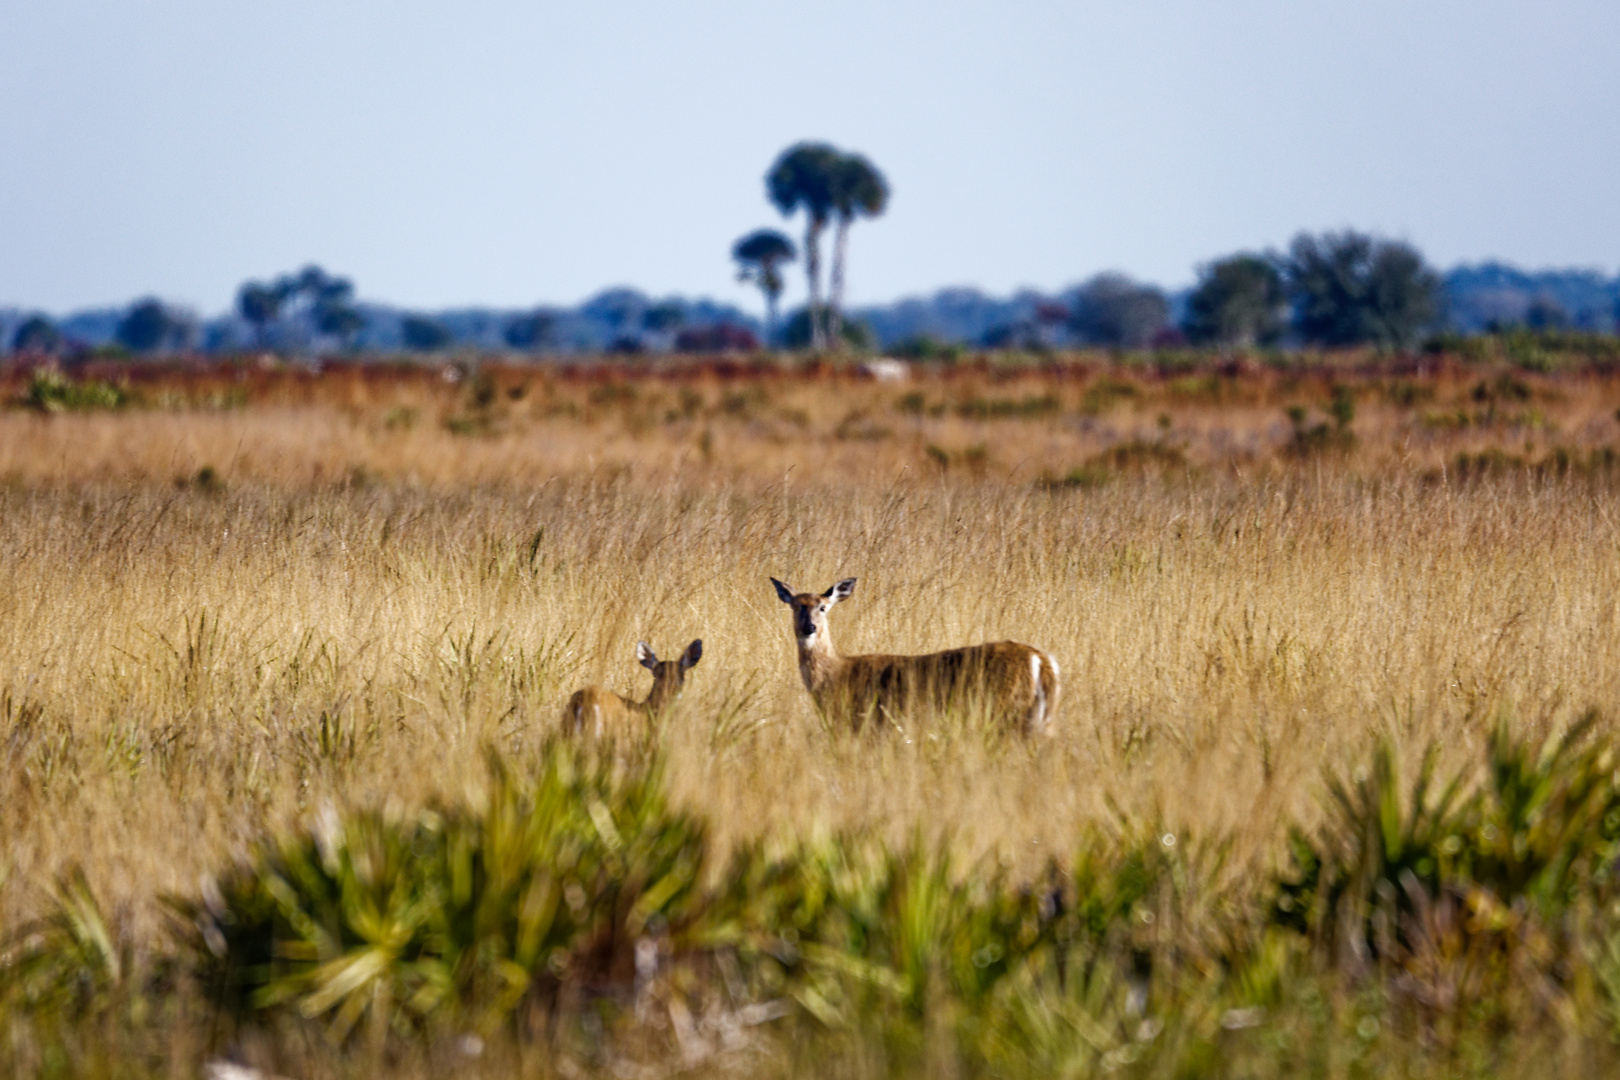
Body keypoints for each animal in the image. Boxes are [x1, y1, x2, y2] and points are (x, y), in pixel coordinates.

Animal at [771, 579, 1062, 738]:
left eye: (823, 607)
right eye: (796, 606)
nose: (809, 627)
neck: (837, 673)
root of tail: (1041, 659)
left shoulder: (869, 722)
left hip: (1006, 708)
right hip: (1040, 717)